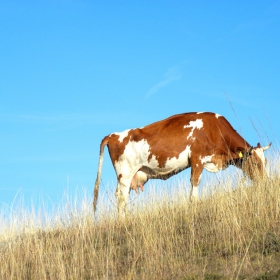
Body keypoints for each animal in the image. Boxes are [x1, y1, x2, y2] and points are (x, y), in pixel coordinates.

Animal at [93, 111, 272, 217]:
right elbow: (195, 183)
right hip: (125, 173)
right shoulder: (197, 159)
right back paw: (123, 221)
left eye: (265, 162)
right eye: (256, 163)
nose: (265, 182)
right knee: (121, 197)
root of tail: (113, 135)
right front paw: (194, 204)